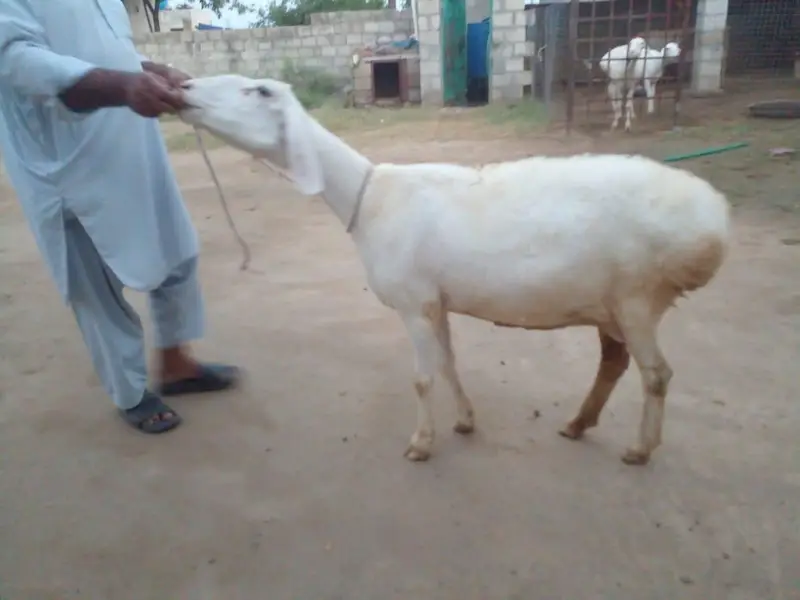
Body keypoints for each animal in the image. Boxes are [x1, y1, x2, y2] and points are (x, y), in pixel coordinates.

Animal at [180, 74, 731, 466]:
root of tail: (715, 224)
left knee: (656, 374)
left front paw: (421, 443)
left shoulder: (412, 301)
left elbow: (423, 378)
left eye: (259, 89)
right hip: (609, 302)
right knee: (614, 364)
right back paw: (578, 424)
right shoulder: (434, 299)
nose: (181, 88)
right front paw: (465, 421)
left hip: (638, 295)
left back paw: (639, 449)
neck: (366, 195)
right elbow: (447, 364)